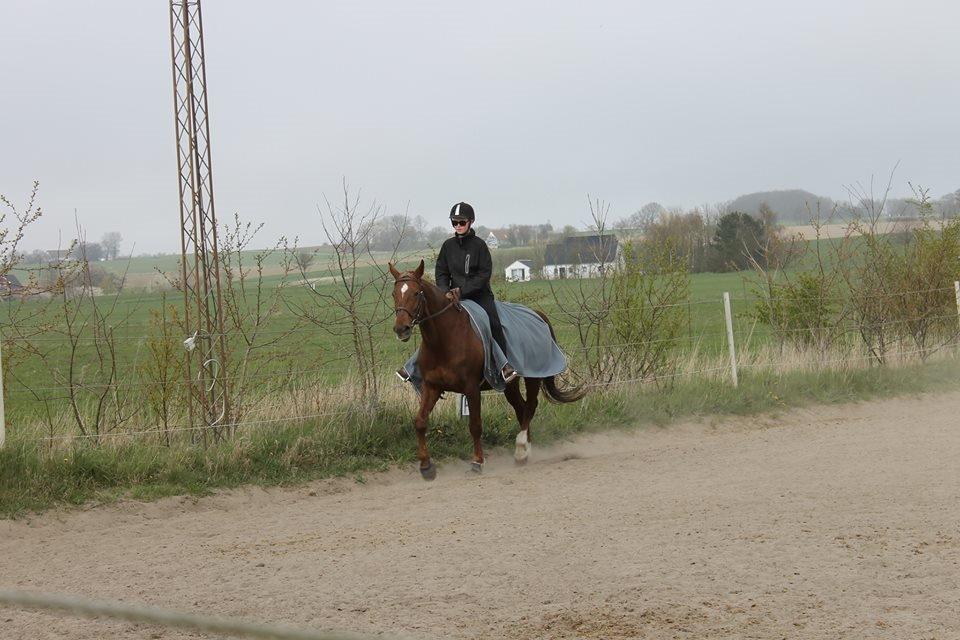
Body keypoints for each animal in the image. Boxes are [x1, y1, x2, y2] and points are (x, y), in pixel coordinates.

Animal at [388, 260, 584, 480]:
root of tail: (537, 314)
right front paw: (426, 467)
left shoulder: (471, 389)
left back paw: (521, 448)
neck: (445, 339)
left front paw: (477, 462)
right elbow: (420, 422)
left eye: (416, 293)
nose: (401, 329)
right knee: (521, 408)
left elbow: (475, 425)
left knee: (531, 406)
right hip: (509, 385)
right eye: (394, 294)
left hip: (533, 376)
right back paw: (525, 452)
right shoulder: (432, 387)